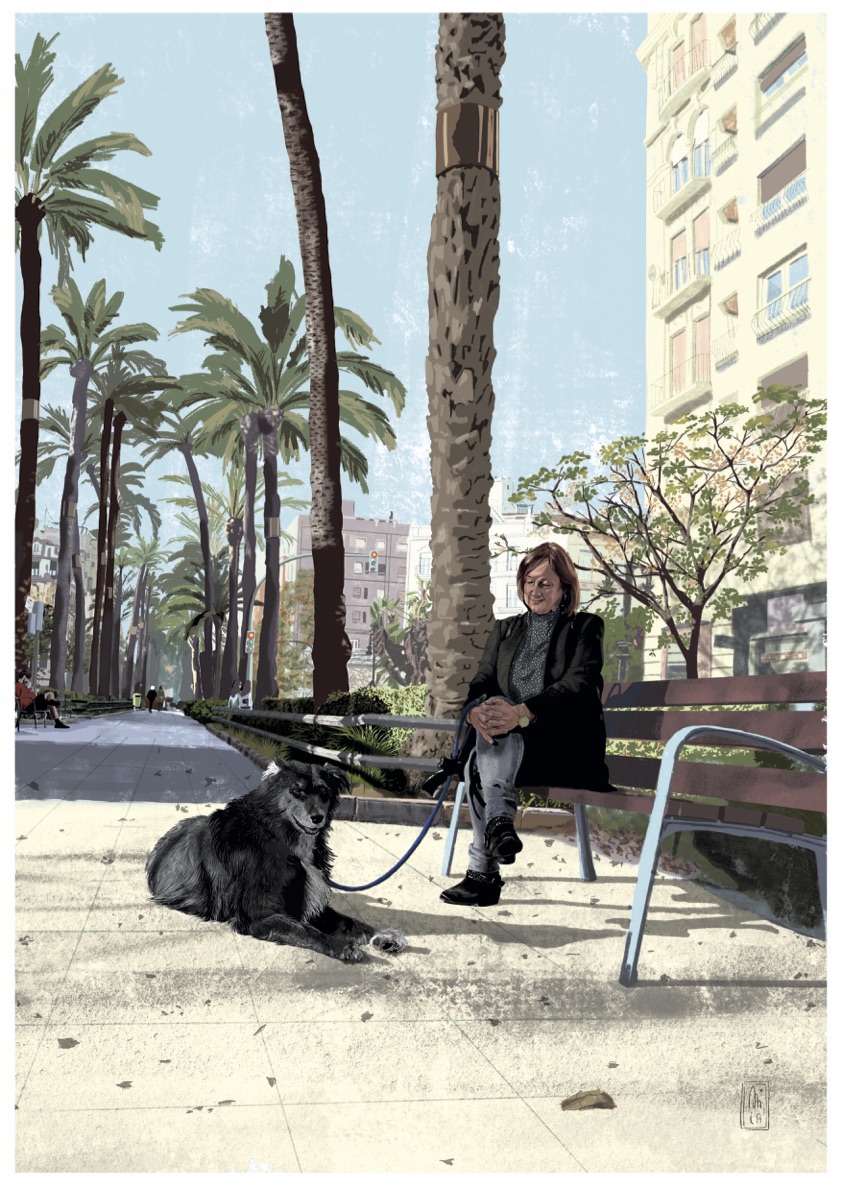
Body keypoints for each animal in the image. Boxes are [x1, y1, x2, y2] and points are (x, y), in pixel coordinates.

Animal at [146, 756, 409, 961]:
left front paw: (383, 936)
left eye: (324, 792)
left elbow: (350, 922)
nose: (318, 818)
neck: (279, 837)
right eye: (297, 791)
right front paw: (341, 946)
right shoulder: (259, 916)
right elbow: (305, 930)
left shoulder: (310, 908)